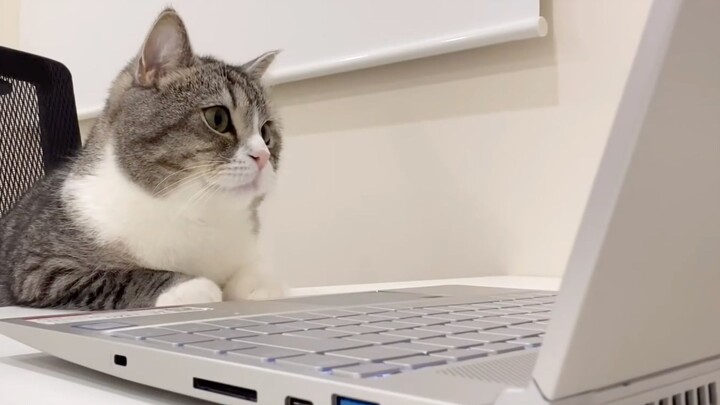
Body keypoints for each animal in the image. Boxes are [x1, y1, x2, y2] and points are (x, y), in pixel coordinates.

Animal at [0, 7, 286, 310]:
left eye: (266, 132)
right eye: (218, 118)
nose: (263, 155)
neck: (197, 213)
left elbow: (252, 272)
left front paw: (260, 285)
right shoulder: (42, 270)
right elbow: (121, 277)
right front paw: (188, 286)